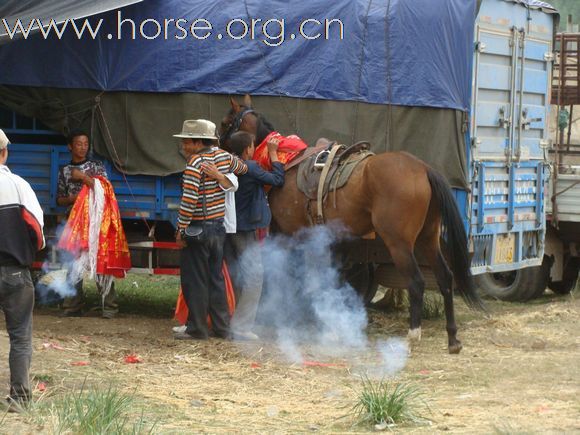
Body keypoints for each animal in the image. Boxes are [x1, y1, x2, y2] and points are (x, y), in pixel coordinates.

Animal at [220, 95, 482, 354]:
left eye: (225, 122)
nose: (224, 150)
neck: (285, 163)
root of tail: (423, 168)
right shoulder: (331, 241)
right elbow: (329, 280)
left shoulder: (290, 233)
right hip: (428, 238)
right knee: (445, 277)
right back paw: (453, 338)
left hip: (400, 243)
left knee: (417, 282)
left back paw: (412, 335)